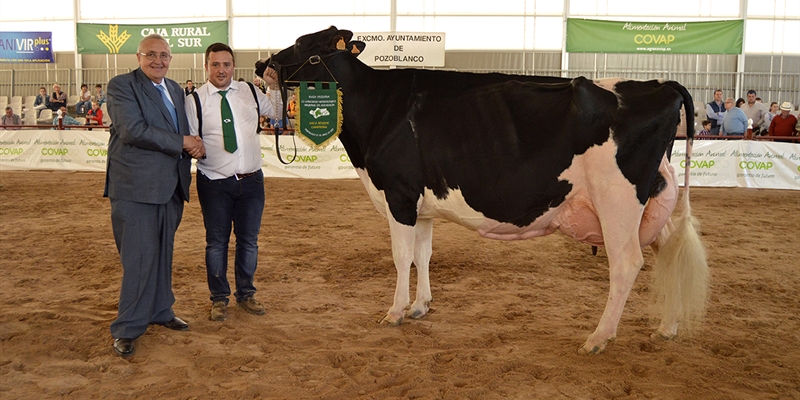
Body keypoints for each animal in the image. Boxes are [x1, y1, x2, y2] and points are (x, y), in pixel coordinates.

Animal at [260, 27, 708, 354]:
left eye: (302, 45)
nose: (263, 62)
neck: (379, 110)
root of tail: (659, 84)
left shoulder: (399, 194)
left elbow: (401, 256)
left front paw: (395, 311)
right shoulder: (421, 203)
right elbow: (423, 254)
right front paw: (421, 305)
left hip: (617, 201)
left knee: (627, 263)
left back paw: (598, 338)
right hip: (652, 199)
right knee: (668, 249)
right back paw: (667, 326)